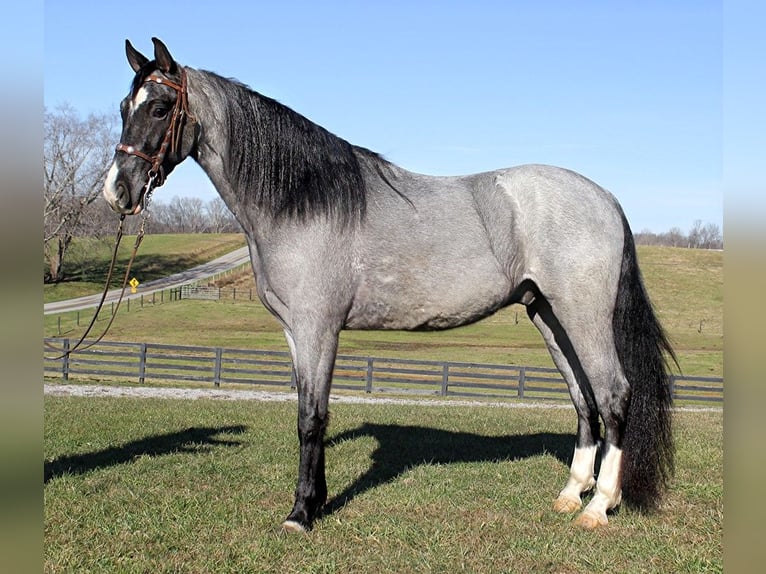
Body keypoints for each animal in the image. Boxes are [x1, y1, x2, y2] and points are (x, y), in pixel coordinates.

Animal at [105, 37, 676, 536]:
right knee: (584, 399)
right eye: (123, 106)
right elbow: (307, 410)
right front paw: (316, 500)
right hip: (550, 316)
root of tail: (605, 197)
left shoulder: (318, 328)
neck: (304, 202)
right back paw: (571, 494)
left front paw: (301, 513)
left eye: (160, 108)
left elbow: (311, 418)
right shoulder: (295, 332)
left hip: (583, 315)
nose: (118, 191)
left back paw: (599, 506)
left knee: (613, 394)